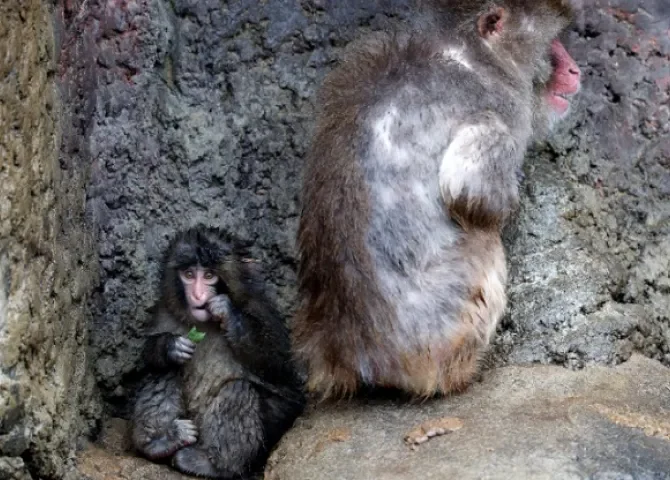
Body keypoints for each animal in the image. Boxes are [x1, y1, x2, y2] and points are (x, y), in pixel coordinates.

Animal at [131, 225, 305, 479]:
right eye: (189, 274)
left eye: (209, 276)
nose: (198, 296)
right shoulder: (164, 311)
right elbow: (147, 357)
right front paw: (170, 346)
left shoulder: (261, 309)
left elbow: (279, 367)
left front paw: (229, 313)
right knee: (164, 371)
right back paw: (161, 442)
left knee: (238, 389)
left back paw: (213, 464)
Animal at [294, 0, 582, 399]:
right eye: (553, 43)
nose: (574, 69)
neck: (473, 53)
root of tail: (351, 353)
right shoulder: (501, 106)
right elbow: (470, 191)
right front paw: (508, 202)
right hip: (442, 333)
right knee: (483, 245)